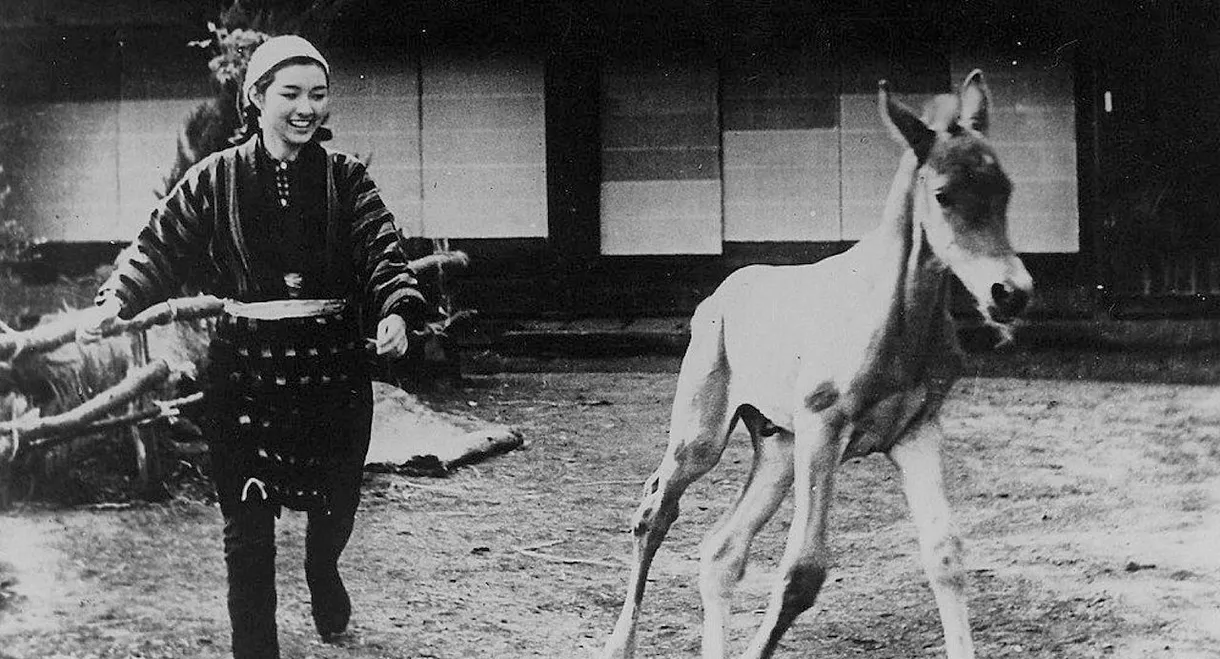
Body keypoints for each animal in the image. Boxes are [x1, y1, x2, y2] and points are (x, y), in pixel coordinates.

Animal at [600, 69, 1033, 659]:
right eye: (943, 194)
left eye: (1005, 188)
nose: (1009, 294)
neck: (894, 316)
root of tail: (720, 293)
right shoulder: (824, 429)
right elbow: (802, 572)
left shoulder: (916, 431)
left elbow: (945, 554)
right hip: (702, 438)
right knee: (654, 514)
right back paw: (618, 642)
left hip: (779, 449)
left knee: (721, 550)